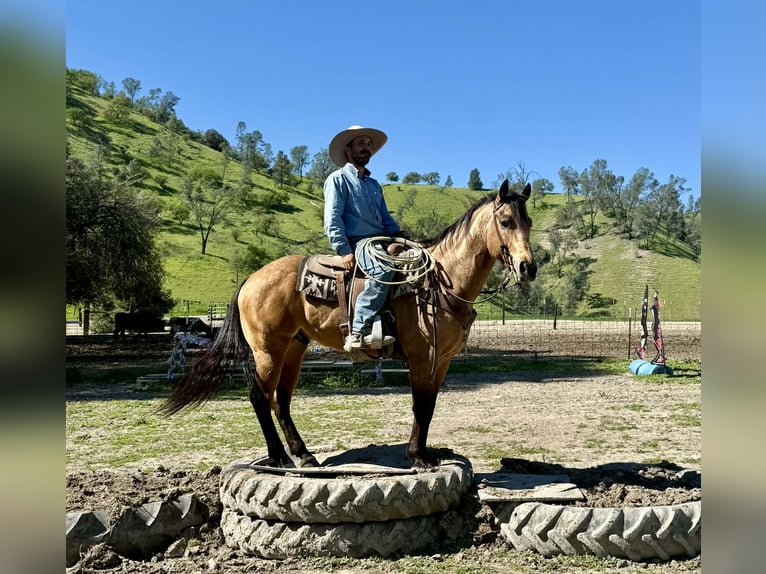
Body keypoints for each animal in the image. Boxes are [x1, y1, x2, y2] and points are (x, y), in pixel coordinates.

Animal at [159, 179, 536, 469]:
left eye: (528, 222)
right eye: (505, 221)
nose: (528, 267)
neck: (440, 282)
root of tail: (251, 278)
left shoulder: (440, 360)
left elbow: (428, 407)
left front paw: (424, 453)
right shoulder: (420, 356)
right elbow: (419, 405)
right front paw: (417, 457)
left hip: (294, 347)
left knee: (281, 400)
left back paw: (303, 455)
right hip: (268, 350)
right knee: (259, 397)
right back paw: (279, 457)